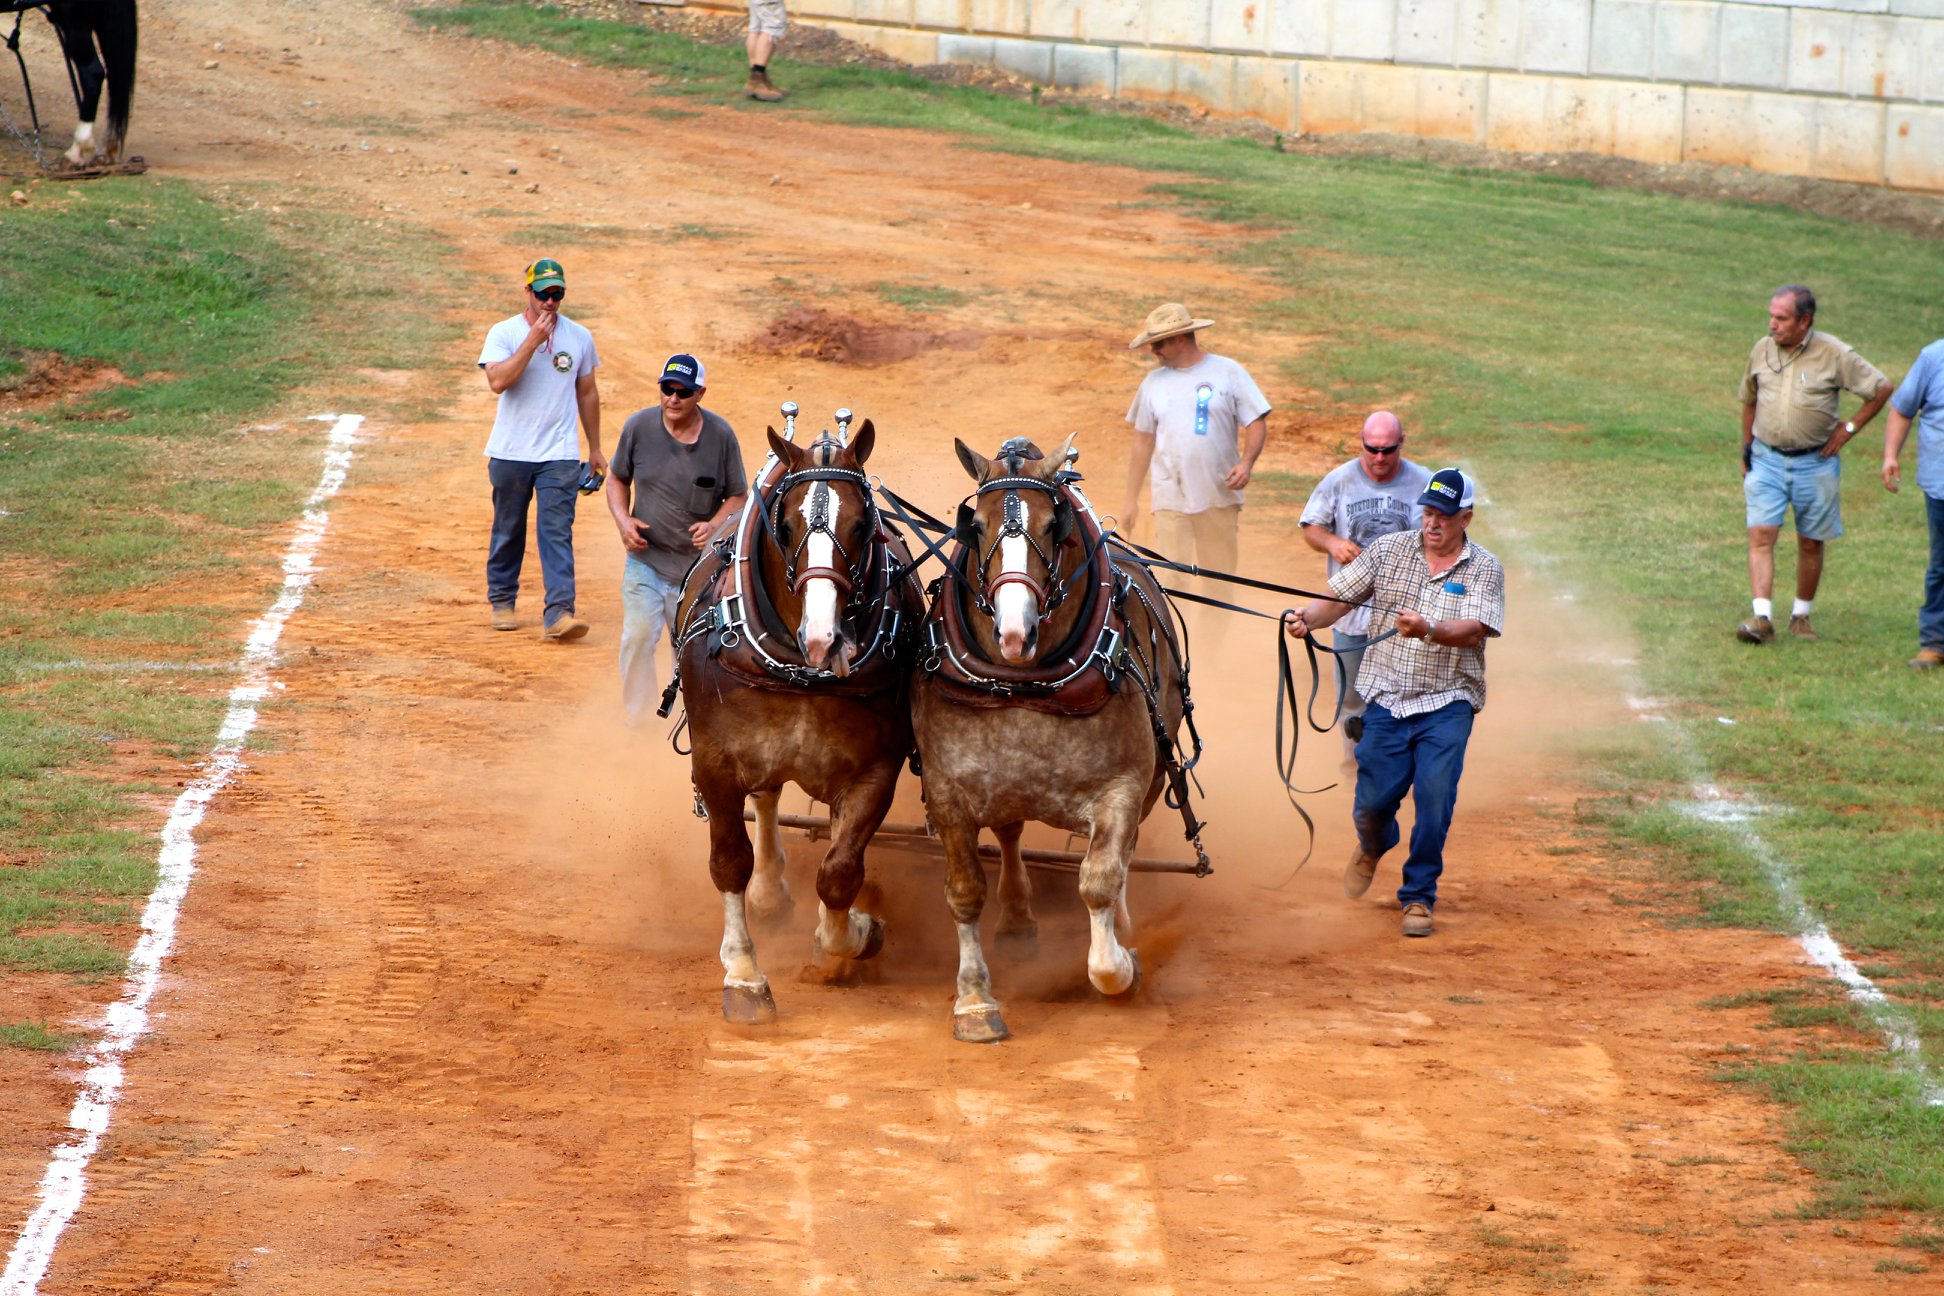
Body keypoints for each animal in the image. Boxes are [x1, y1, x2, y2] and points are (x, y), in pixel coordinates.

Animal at [672, 415, 921, 1025]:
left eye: (862, 524)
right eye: (784, 527)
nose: (823, 637)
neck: (801, 670)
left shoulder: (874, 772)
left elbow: (839, 871)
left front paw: (851, 936)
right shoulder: (716, 764)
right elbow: (729, 862)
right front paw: (743, 976)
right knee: (764, 802)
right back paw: (768, 892)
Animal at [913, 435, 1197, 1041]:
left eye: (1053, 527)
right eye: (976, 526)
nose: (1014, 633)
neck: (1025, 685)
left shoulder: (1121, 788)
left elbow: (1100, 881)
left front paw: (1121, 966)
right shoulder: (948, 793)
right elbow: (965, 892)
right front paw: (975, 1001)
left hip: (1150, 780)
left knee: (1121, 855)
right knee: (1011, 831)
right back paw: (1018, 920)